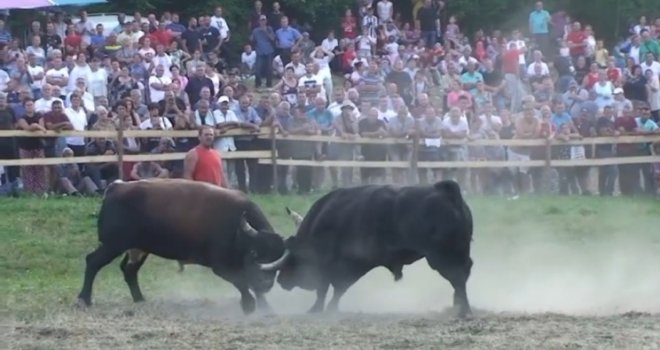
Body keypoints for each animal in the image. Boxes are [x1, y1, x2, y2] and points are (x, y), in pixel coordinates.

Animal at [75, 179, 286, 314]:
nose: (267, 283)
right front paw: (249, 305)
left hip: (138, 249)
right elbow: (241, 282)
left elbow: (249, 284)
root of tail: (117, 187)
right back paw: (83, 300)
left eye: (277, 258)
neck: (237, 230)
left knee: (129, 270)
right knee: (92, 262)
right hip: (113, 245)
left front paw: (265, 306)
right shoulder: (221, 267)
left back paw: (140, 299)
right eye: (254, 252)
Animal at [262, 180, 474, 318]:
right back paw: (458, 306)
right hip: (458, 254)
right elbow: (333, 288)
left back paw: (462, 310)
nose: (281, 280)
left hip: (442, 257)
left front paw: (320, 309)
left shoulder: (341, 265)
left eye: (292, 259)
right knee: (463, 275)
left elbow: (330, 287)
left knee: (458, 277)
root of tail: (447, 192)